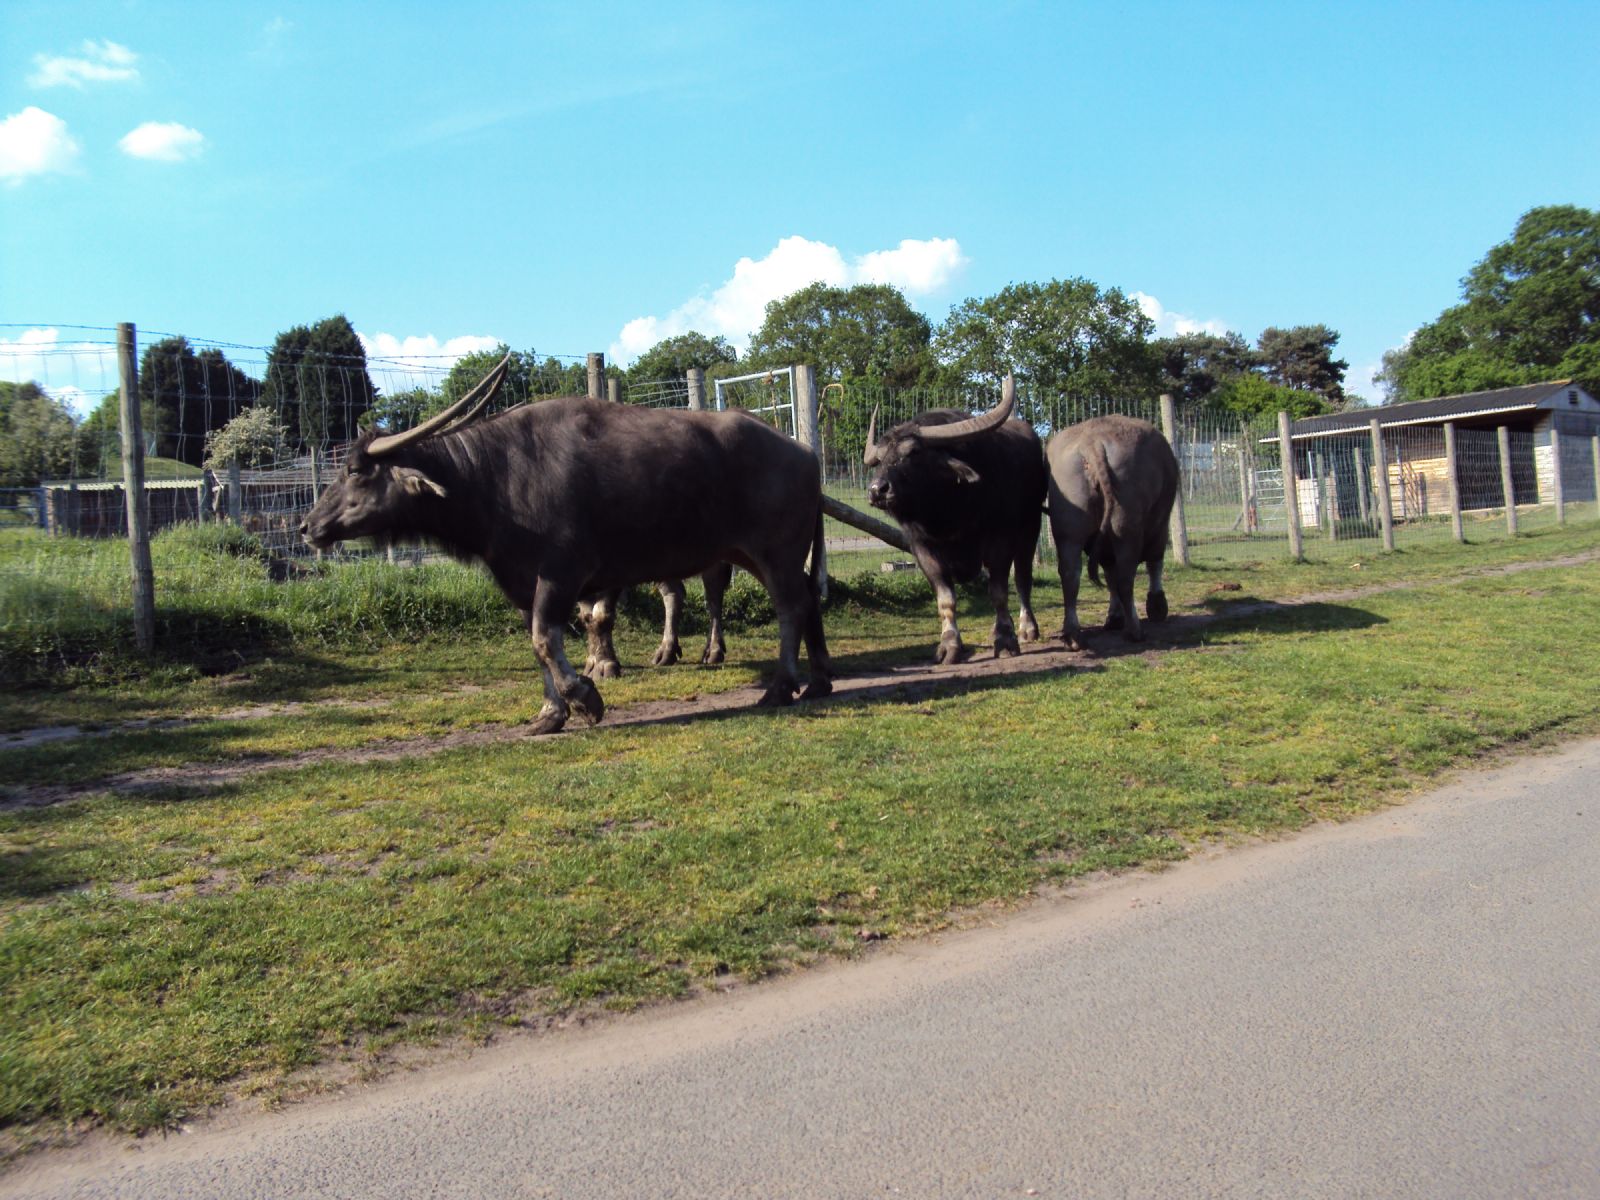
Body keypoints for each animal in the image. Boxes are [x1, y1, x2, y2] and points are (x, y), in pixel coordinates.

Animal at [300, 356, 832, 732]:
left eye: (354, 470)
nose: (308, 527)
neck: (495, 478)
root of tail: (805, 452)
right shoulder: (522, 582)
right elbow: (539, 642)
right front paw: (549, 713)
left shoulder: (562, 573)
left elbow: (544, 637)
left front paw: (584, 697)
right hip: (756, 554)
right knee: (806, 600)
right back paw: (819, 680)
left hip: (774, 552)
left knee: (790, 606)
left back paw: (782, 687)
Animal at [1043, 419, 1184, 652]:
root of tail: (1093, 444)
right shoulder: (1160, 524)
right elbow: (1154, 562)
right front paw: (1156, 604)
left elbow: (1109, 573)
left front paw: (1114, 617)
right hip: (1125, 526)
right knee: (1126, 577)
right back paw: (1135, 630)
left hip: (1068, 526)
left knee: (1070, 574)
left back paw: (1073, 635)